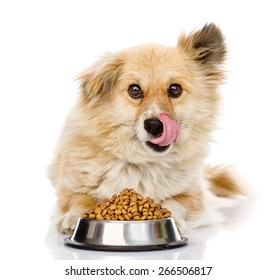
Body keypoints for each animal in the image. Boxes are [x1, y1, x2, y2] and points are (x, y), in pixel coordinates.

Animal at [48, 23, 243, 234]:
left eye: (175, 89)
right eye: (135, 90)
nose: (154, 125)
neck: (143, 162)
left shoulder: (193, 197)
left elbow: (174, 202)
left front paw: (171, 219)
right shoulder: (70, 189)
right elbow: (81, 200)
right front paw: (73, 216)